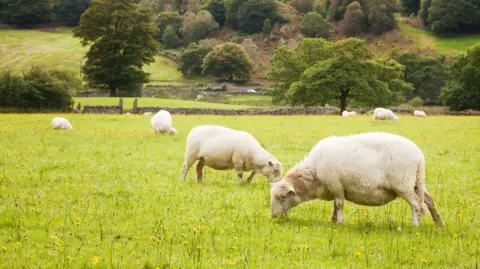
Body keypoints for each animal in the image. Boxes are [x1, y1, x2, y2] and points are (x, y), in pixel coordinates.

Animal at [270, 131, 446, 225]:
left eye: (283, 196)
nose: (274, 217)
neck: (313, 173)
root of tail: (419, 156)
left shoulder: (335, 184)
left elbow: (339, 204)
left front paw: (340, 222)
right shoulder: (335, 188)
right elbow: (335, 205)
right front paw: (333, 220)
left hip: (403, 185)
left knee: (416, 204)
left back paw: (415, 225)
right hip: (417, 183)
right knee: (430, 202)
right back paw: (440, 224)